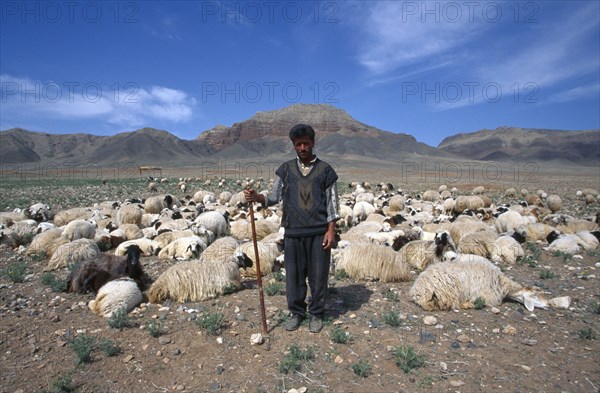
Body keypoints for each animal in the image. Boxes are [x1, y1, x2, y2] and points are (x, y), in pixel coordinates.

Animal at [410, 254, 568, 312]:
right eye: (534, 295)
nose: (548, 304)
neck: (503, 284)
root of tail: (417, 290)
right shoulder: (490, 297)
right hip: (449, 294)